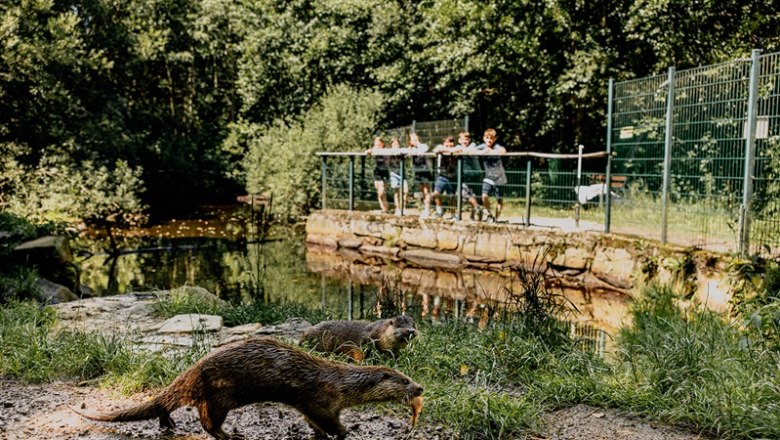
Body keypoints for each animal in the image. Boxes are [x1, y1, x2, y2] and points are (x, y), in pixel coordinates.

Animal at [71, 336, 423, 440]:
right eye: (404, 380)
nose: (420, 388)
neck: (342, 383)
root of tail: (194, 370)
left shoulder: (316, 406)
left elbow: (313, 422)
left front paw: (322, 435)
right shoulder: (322, 400)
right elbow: (328, 422)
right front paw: (343, 433)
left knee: (169, 404)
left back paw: (167, 424)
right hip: (221, 395)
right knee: (207, 421)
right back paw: (230, 436)